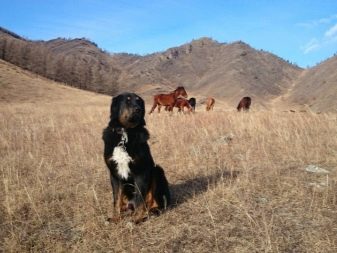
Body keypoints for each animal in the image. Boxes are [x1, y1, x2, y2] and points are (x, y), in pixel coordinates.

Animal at [101, 92, 171, 221]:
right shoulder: (114, 173)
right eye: (127, 101)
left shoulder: (141, 171)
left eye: (139, 101)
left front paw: (136, 219)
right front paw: (115, 218)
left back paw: (153, 211)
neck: (125, 133)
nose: (138, 109)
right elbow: (116, 199)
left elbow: (139, 198)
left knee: (155, 201)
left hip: (157, 170)